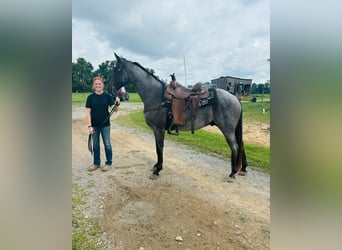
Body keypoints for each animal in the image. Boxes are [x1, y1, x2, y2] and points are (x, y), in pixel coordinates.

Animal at [111, 53, 247, 182]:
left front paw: (157, 170)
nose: (110, 88)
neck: (156, 95)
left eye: (116, 69)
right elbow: (157, 148)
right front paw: (156, 166)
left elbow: (159, 148)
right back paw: (242, 169)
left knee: (235, 147)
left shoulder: (158, 129)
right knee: (240, 145)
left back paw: (232, 173)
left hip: (227, 130)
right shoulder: (157, 130)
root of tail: (235, 98)